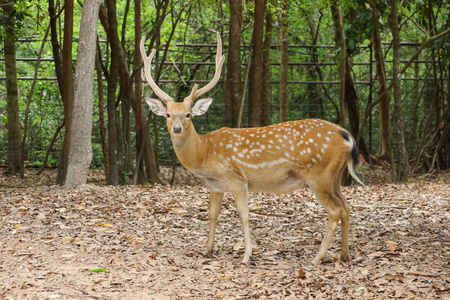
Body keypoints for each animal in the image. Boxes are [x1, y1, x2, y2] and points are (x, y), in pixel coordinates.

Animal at [140, 33, 362, 264]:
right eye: (168, 114)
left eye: (188, 114)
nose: (176, 128)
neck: (205, 154)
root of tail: (347, 136)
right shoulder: (216, 186)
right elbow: (212, 215)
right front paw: (207, 250)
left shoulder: (237, 178)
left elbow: (244, 215)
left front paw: (247, 255)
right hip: (334, 176)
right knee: (346, 206)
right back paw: (344, 255)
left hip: (318, 174)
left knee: (335, 210)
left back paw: (317, 258)